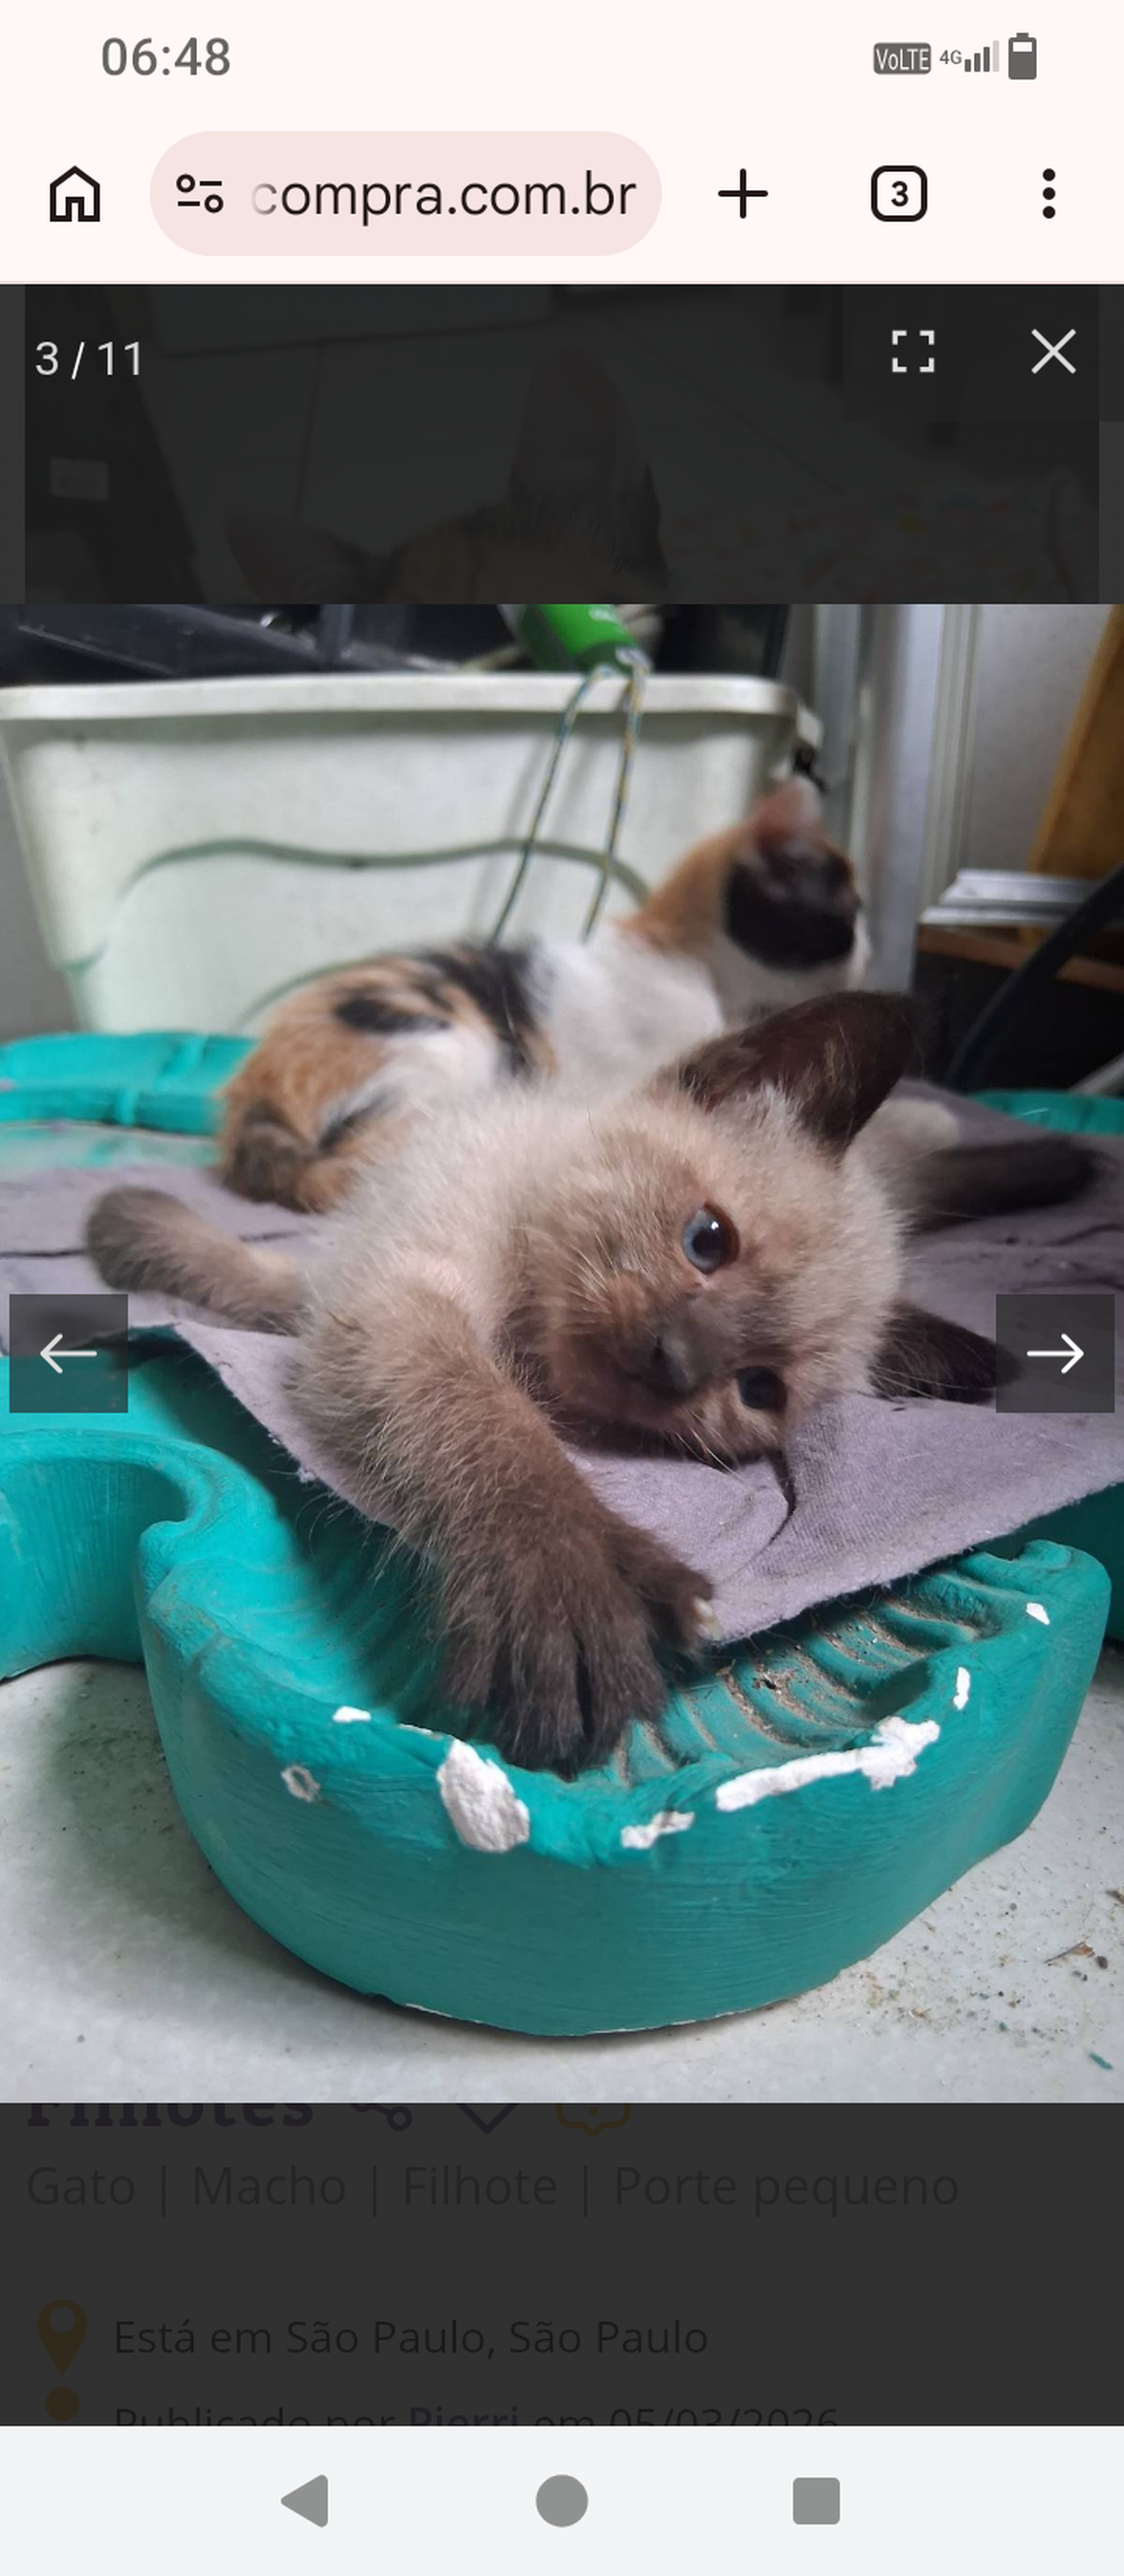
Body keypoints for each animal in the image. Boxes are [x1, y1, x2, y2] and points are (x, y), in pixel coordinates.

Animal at [87, 989, 1093, 1774]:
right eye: (707, 1240)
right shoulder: (389, 1301)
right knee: (915, 1166)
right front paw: (569, 1591)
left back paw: (1059, 1160)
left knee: (920, 1168)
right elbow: (492, 1429)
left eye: (757, 1388)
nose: (672, 1357)